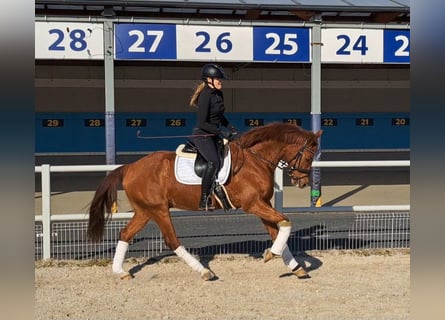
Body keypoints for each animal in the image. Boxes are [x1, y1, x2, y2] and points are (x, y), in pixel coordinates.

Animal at [87, 122, 322, 280]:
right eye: (309, 156)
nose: (302, 182)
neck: (255, 160)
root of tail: (130, 167)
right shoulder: (253, 204)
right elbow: (286, 222)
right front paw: (272, 254)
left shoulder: (263, 204)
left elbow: (278, 229)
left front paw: (295, 267)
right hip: (159, 210)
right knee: (171, 240)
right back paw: (204, 271)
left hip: (145, 211)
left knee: (125, 234)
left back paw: (120, 272)